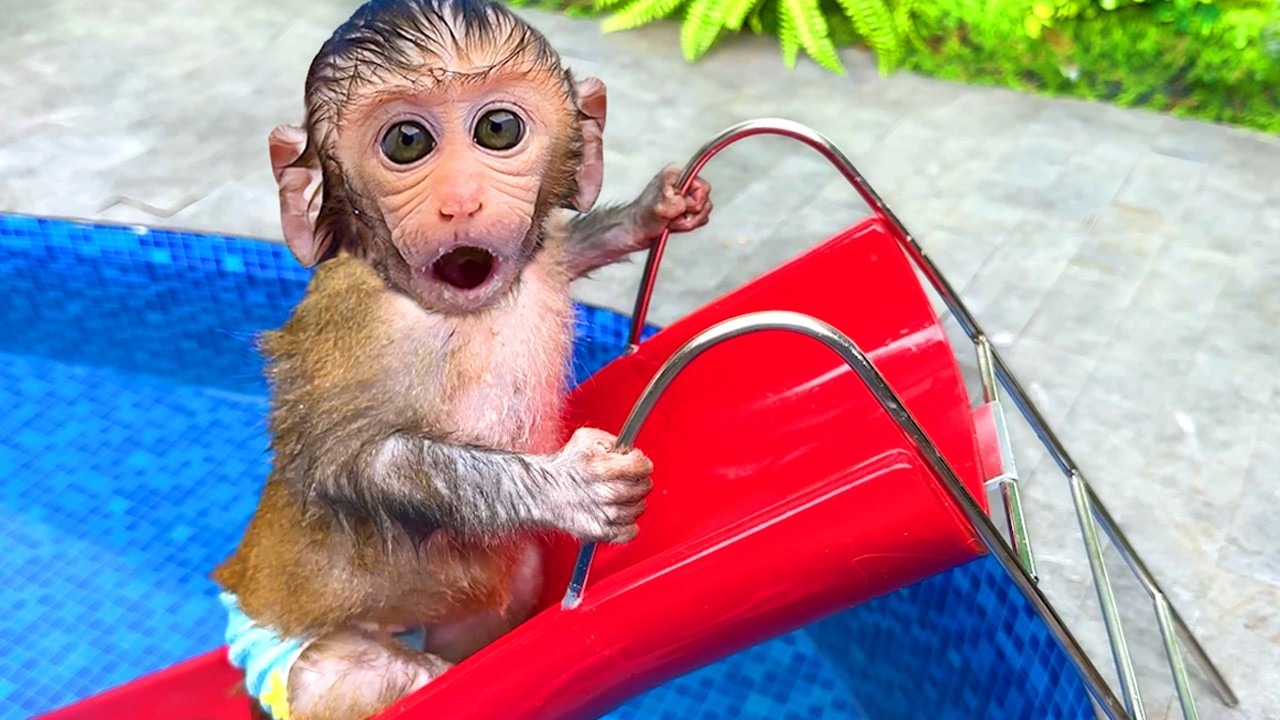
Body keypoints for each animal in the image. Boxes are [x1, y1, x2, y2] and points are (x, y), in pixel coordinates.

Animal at [209, 1, 713, 719]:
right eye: (406, 143)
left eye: (498, 130)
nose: (462, 200)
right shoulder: (357, 323)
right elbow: (345, 460)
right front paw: (570, 489)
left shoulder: (540, 253)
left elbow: (567, 245)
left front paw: (657, 208)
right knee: (358, 676)